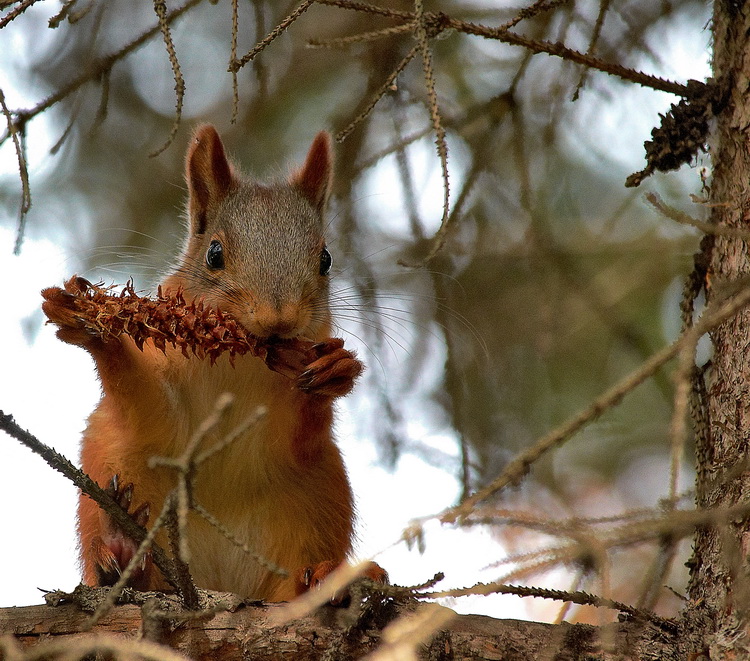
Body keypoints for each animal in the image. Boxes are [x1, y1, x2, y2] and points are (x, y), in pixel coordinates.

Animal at [42, 124, 388, 600]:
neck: (237, 364)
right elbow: (152, 413)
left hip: (314, 507)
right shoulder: (165, 395)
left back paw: (322, 579)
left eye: (326, 259)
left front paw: (334, 370)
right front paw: (98, 327)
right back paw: (121, 549)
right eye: (214, 253)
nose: (278, 320)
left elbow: (299, 436)